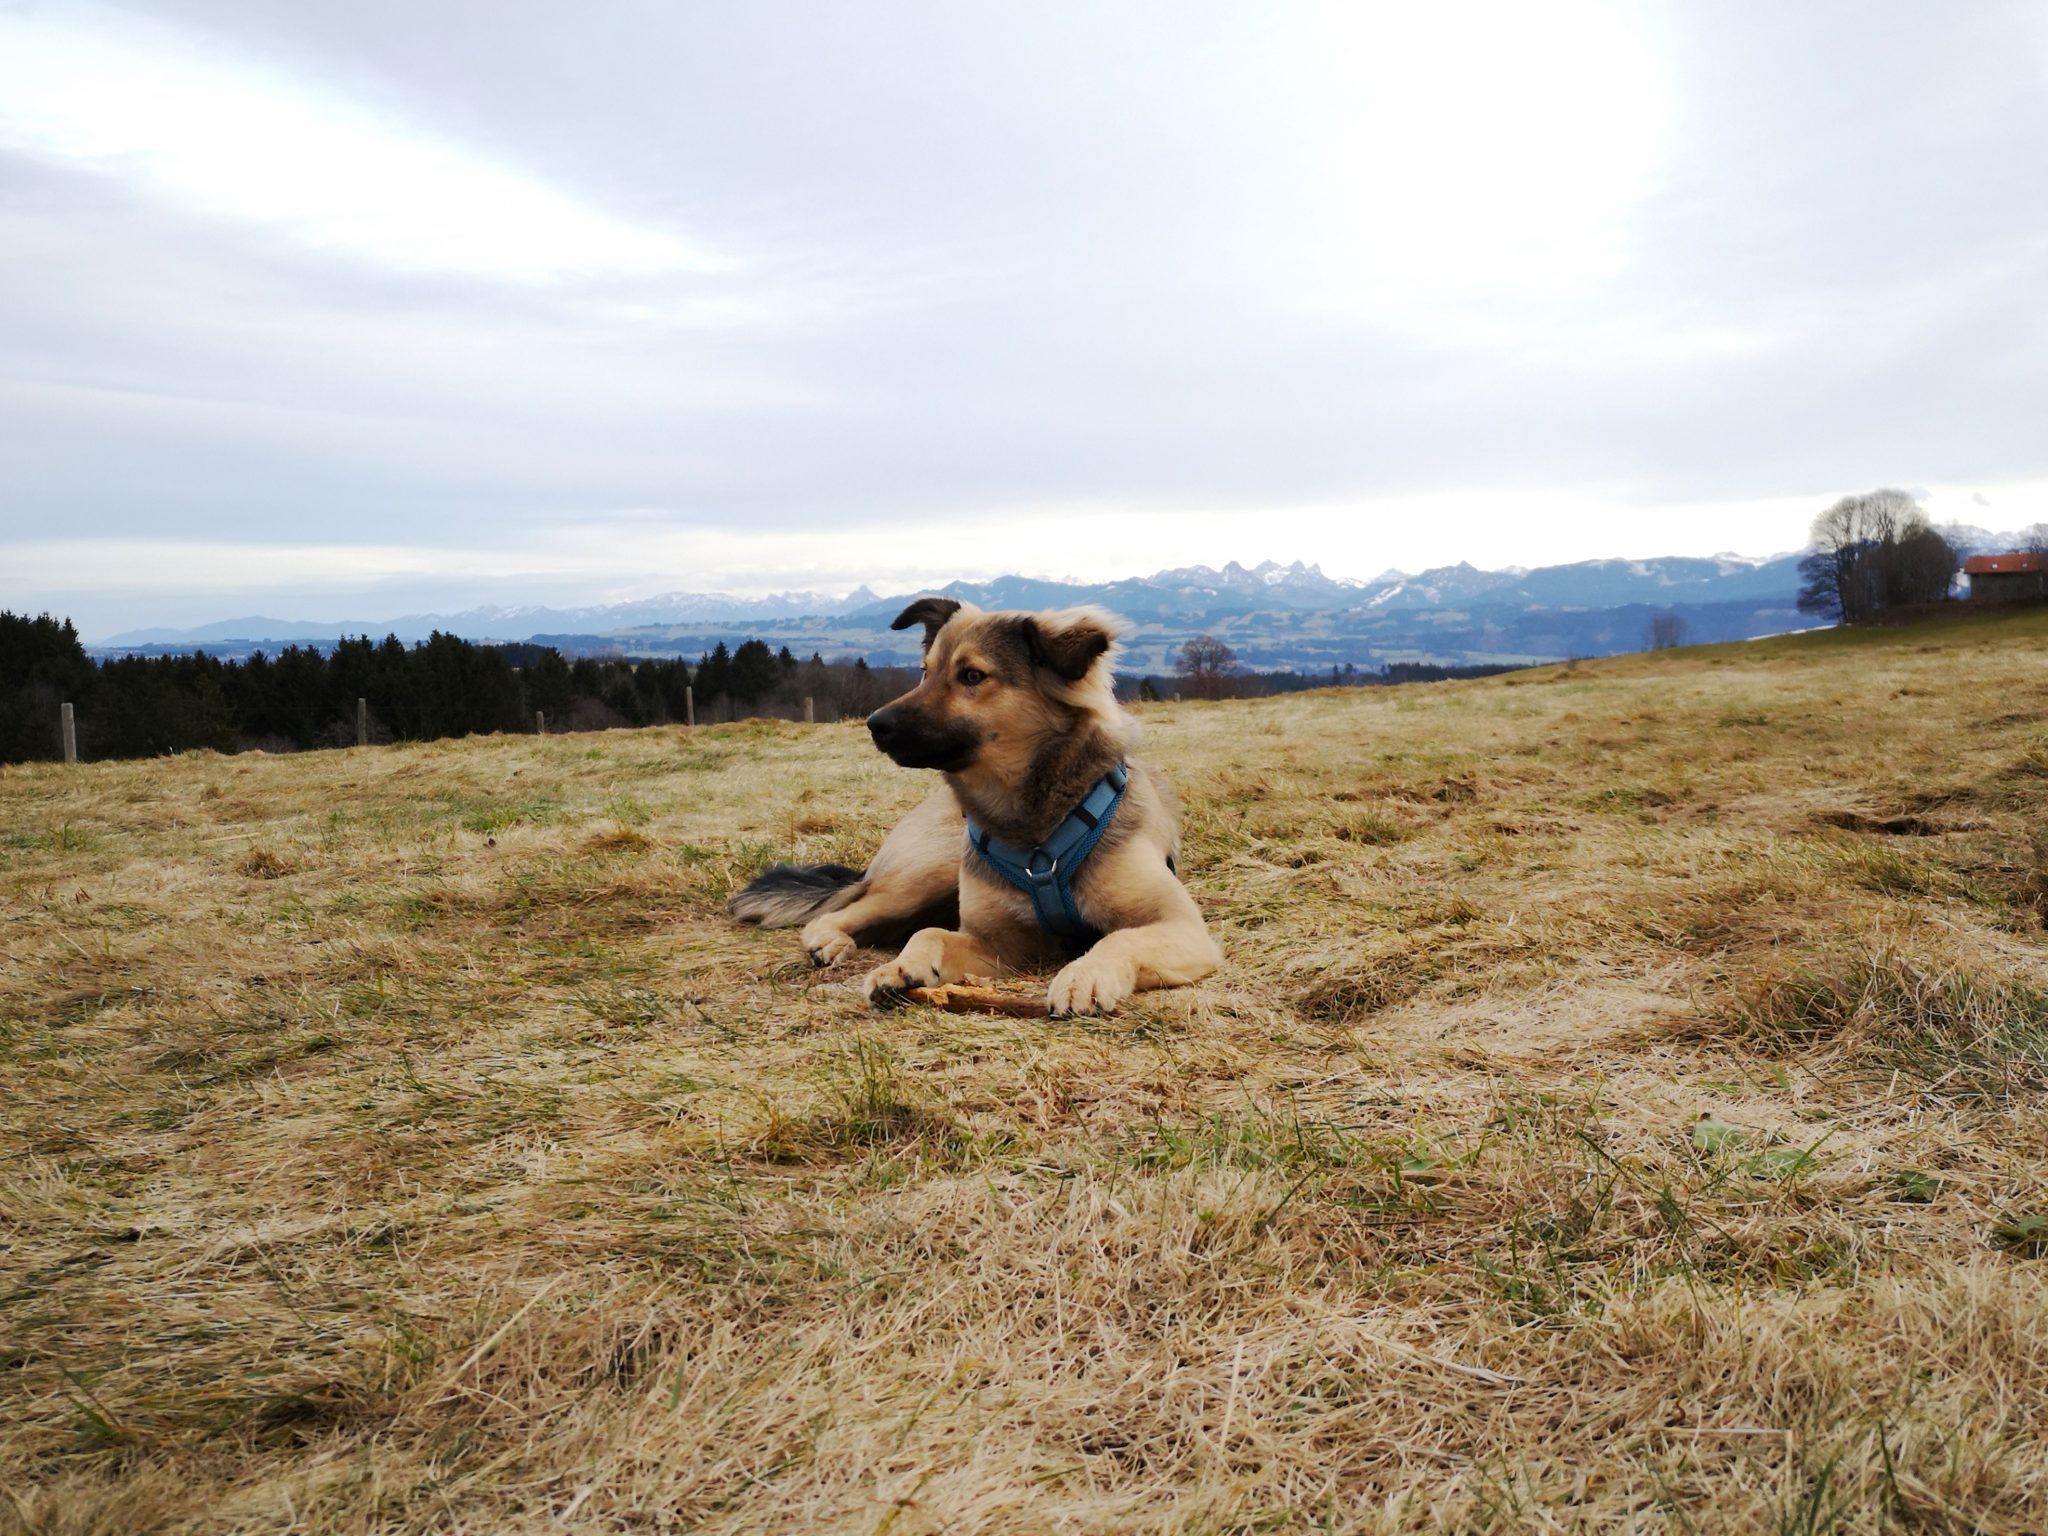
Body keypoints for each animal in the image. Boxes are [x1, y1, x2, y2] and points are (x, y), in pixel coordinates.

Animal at [733, 602, 1220, 1024]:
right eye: (924, 672)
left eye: (971, 675)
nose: (875, 724)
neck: (1032, 826)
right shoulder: (1001, 944)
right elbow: (931, 934)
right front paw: (901, 968)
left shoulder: (1182, 926)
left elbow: (1120, 937)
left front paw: (1084, 975)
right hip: (929, 870)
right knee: (844, 912)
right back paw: (830, 942)